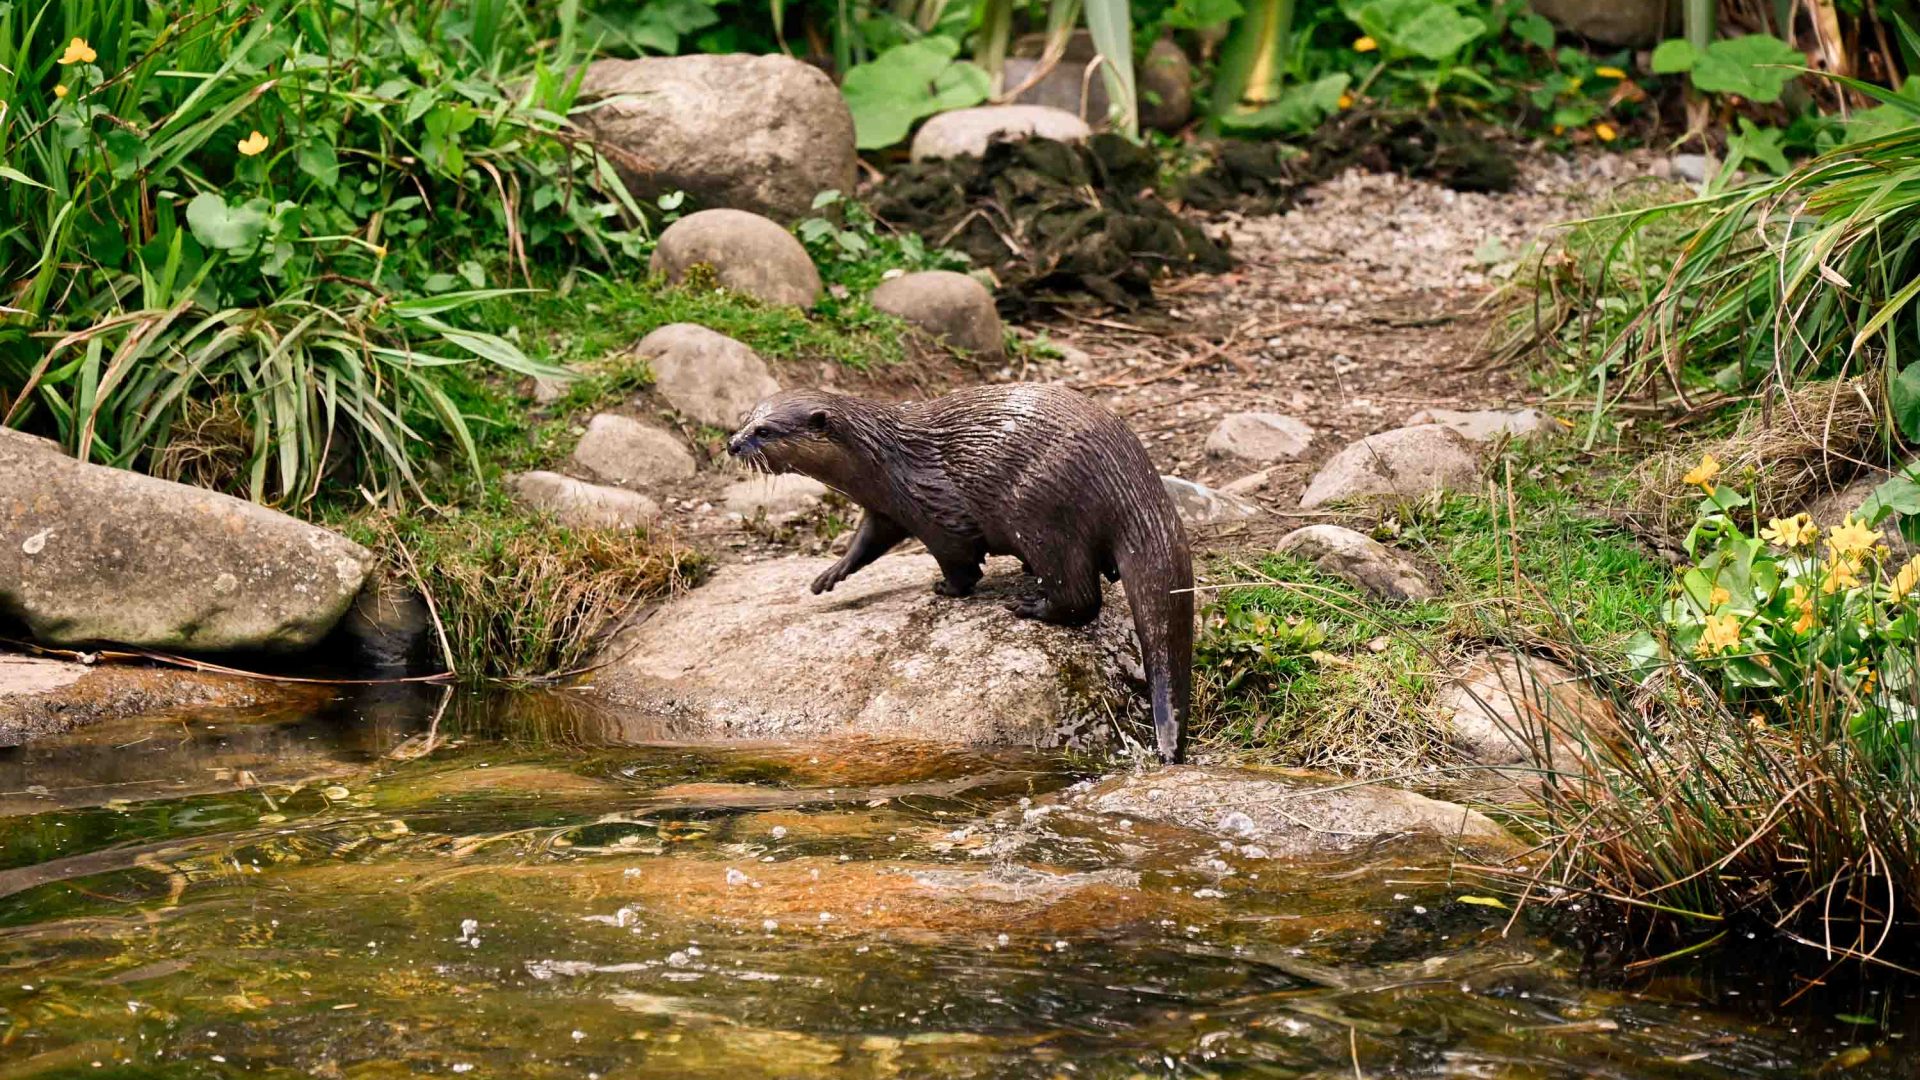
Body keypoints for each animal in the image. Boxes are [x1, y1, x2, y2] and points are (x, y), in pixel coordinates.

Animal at [726, 384, 1193, 762]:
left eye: (764, 431)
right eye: (744, 418)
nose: (731, 444)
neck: (885, 463)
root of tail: (1128, 478)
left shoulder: (933, 510)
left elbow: (956, 559)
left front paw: (947, 588)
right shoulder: (885, 509)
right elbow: (865, 543)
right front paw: (829, 575)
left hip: (1038, 509)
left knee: (1080, 594)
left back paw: (1030, 606)